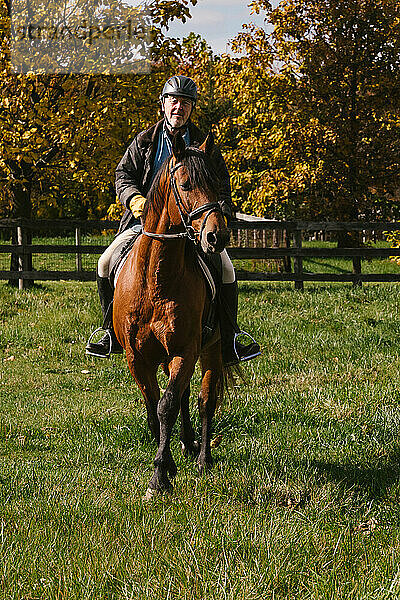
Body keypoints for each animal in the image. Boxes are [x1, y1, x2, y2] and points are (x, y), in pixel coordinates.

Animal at [114, 131, 230, 496]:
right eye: (186, 183)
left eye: (216, 183)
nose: (216, 237)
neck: (157, 279)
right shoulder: (137, 357)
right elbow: (155, 404)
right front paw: (163, 457)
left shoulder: (185, 350)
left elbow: (167, 405)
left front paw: (160, 475)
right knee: (183, 396)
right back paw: (187, 443)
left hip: (211, 350)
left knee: (205, 400)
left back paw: (203, 457)